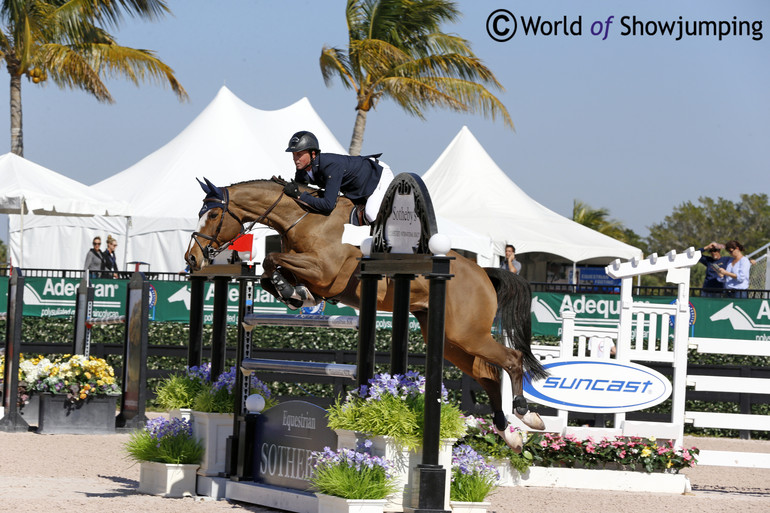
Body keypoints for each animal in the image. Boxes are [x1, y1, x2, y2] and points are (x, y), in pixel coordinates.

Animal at [184, 176, 544, 448]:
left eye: (213, 216)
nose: (191, 259)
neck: (304, 219)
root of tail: (483, 272)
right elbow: (269, 271)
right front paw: (296, 294)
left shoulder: (324, 271)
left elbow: (273, 261)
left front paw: (294, 293)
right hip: (448, 339)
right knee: (487, 373)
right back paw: (510, 435)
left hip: (466, 333)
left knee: (511, 360)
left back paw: (525, 413)